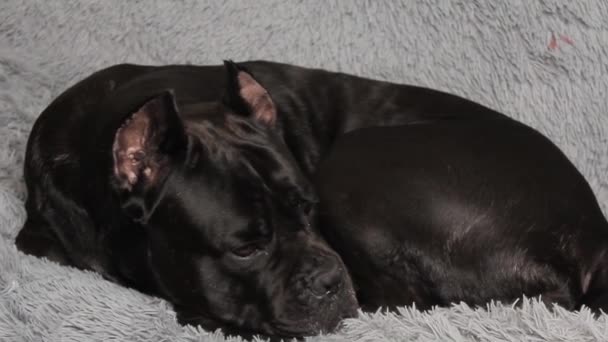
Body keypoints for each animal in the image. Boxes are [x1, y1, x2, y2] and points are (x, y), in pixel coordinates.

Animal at [15, 60, 608, 338]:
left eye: (310, 211)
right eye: (245, 248)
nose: (329, 278)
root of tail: (592, 234)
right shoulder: (37, 232)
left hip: (352, 160)